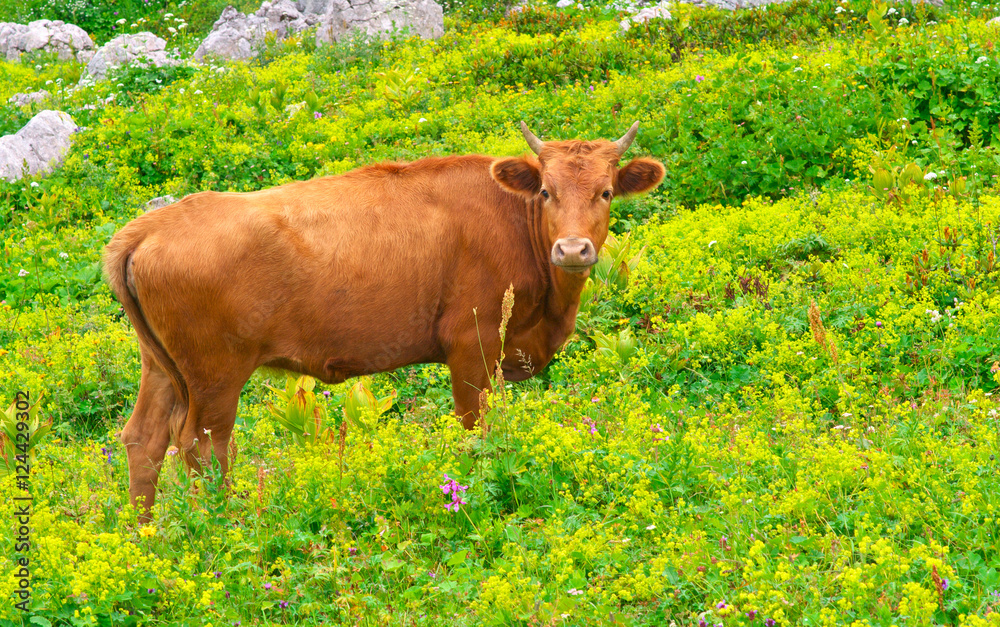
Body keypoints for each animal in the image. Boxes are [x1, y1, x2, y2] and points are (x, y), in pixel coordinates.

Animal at [103, 120, 664, 512]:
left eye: (606, 192)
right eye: (546, 191)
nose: (572, 249)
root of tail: (148, 227)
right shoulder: (472, 347)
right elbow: (475, 429)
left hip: (161, 368)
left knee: (144, 440)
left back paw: (146, 536)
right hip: (215, 377)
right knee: (203, 447)